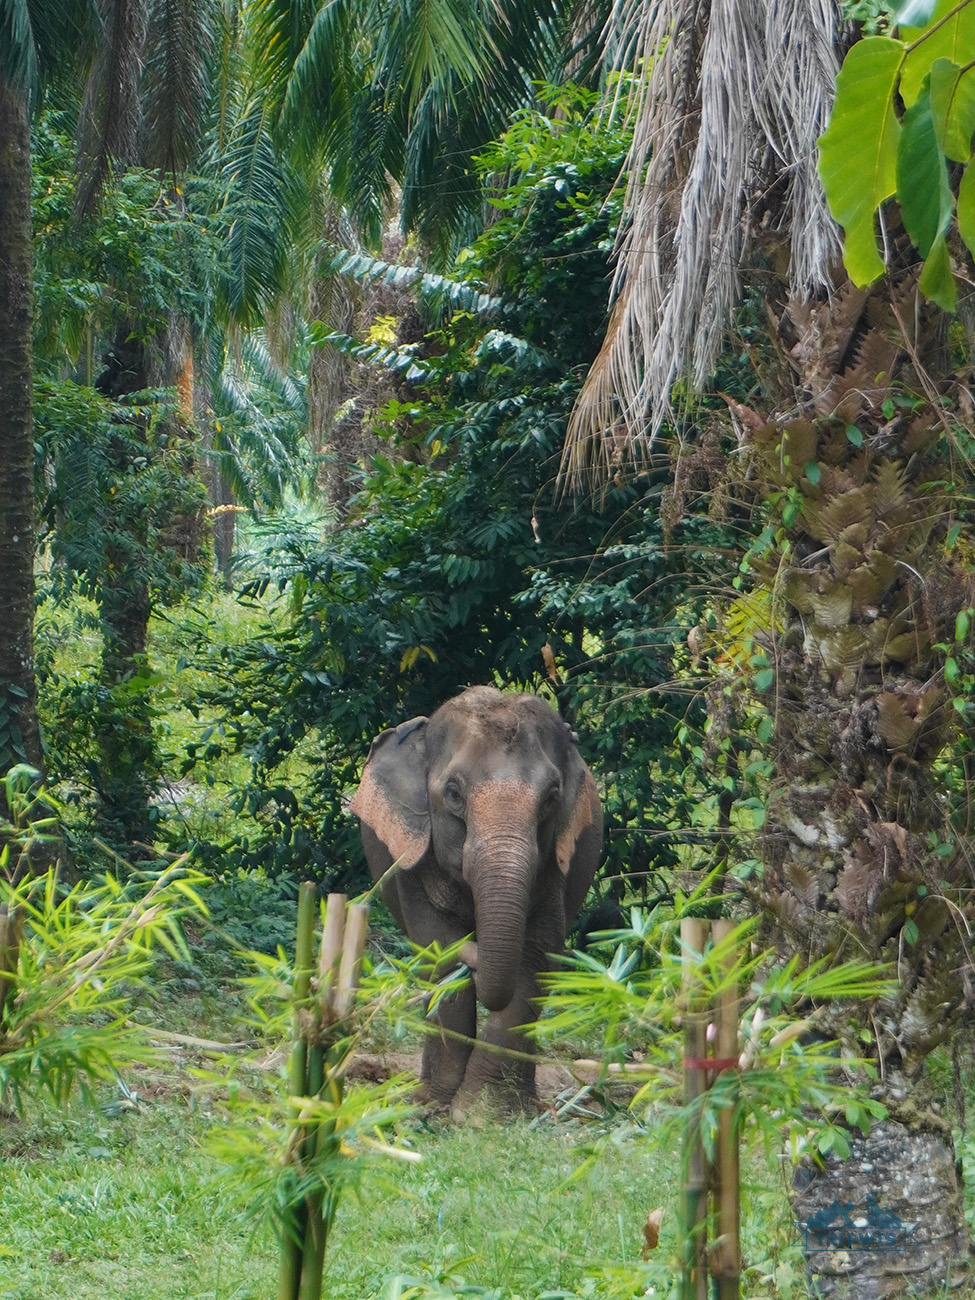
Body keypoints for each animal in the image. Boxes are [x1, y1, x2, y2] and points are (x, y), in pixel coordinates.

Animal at [350, 685, 602, 1115]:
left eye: (551, 797)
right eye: (453, 793)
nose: (476, 948)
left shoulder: (553, 870)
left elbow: (535, 956)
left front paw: (483, 1113)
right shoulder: (413, 863)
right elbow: (438, 951)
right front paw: (438, 1105)